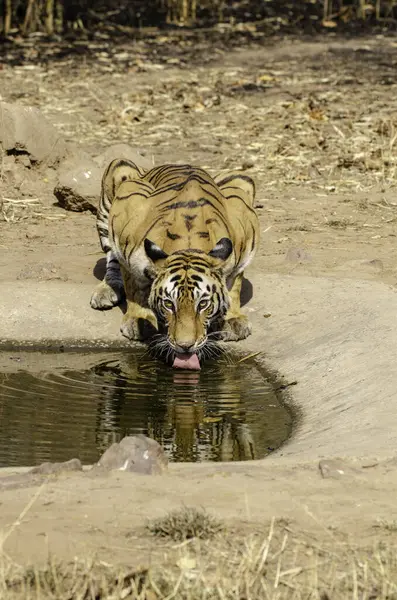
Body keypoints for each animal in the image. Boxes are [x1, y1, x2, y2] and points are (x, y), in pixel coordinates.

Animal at [90, 157, 260, 368]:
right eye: (168, 304)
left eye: (203, 304)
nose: (185, 346)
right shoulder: (124, 220)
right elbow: (133, 285)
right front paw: (139, 320)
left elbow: (234, 285)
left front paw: (233, 320)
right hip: (118, 172)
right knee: (111, 257)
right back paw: (106, 290)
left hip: (240, 178)